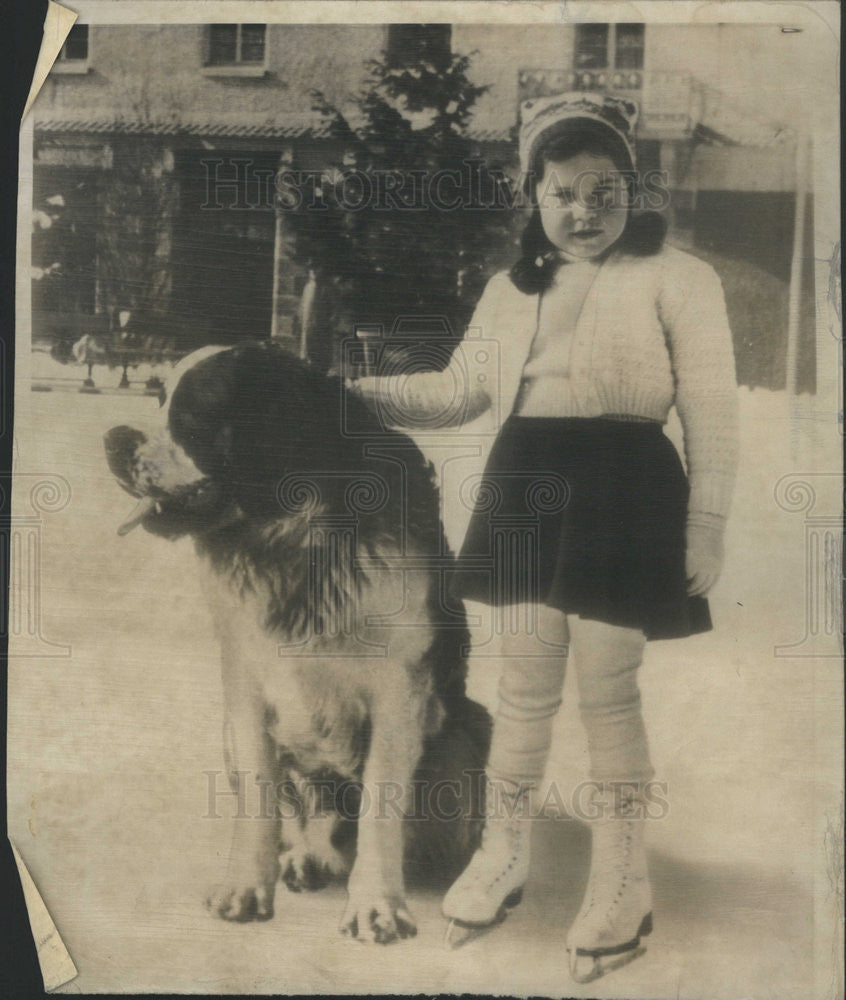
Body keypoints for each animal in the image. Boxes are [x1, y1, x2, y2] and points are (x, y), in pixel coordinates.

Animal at [103, 340, 494, 940]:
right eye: (158, 398)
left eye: (192, 414)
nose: (115, 439)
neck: (294, 536)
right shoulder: (245, 686)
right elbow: (259, 796)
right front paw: (246, 887)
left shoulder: (400, 688)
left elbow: (381, 804)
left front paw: (376, 905)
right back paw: (306, 857)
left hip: (469, 729)